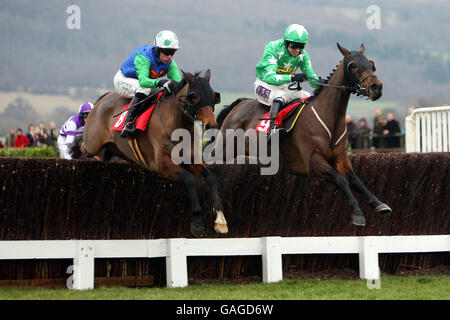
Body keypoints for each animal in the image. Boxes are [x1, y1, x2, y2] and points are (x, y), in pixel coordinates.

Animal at [74, 70, 229, 238]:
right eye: (195, 96)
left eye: (214, 96)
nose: (212, 125)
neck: (177, 124)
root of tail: (104, 97)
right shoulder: (162, 165)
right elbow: (191, 180)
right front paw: (198, 224)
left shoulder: (191, 159)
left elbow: (211, 178)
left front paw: (221, 221)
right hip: (92, 143)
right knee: (83, 147)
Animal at [216, 43, 392, 226]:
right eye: (353, 65)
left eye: (371, 64)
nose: (376, 87)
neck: (330, 118)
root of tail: (239, 104)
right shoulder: (312, 162)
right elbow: (341, 180)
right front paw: (357, 213)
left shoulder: (341, 158)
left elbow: (356, 180)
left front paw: (380, 204)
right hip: (224, 150)